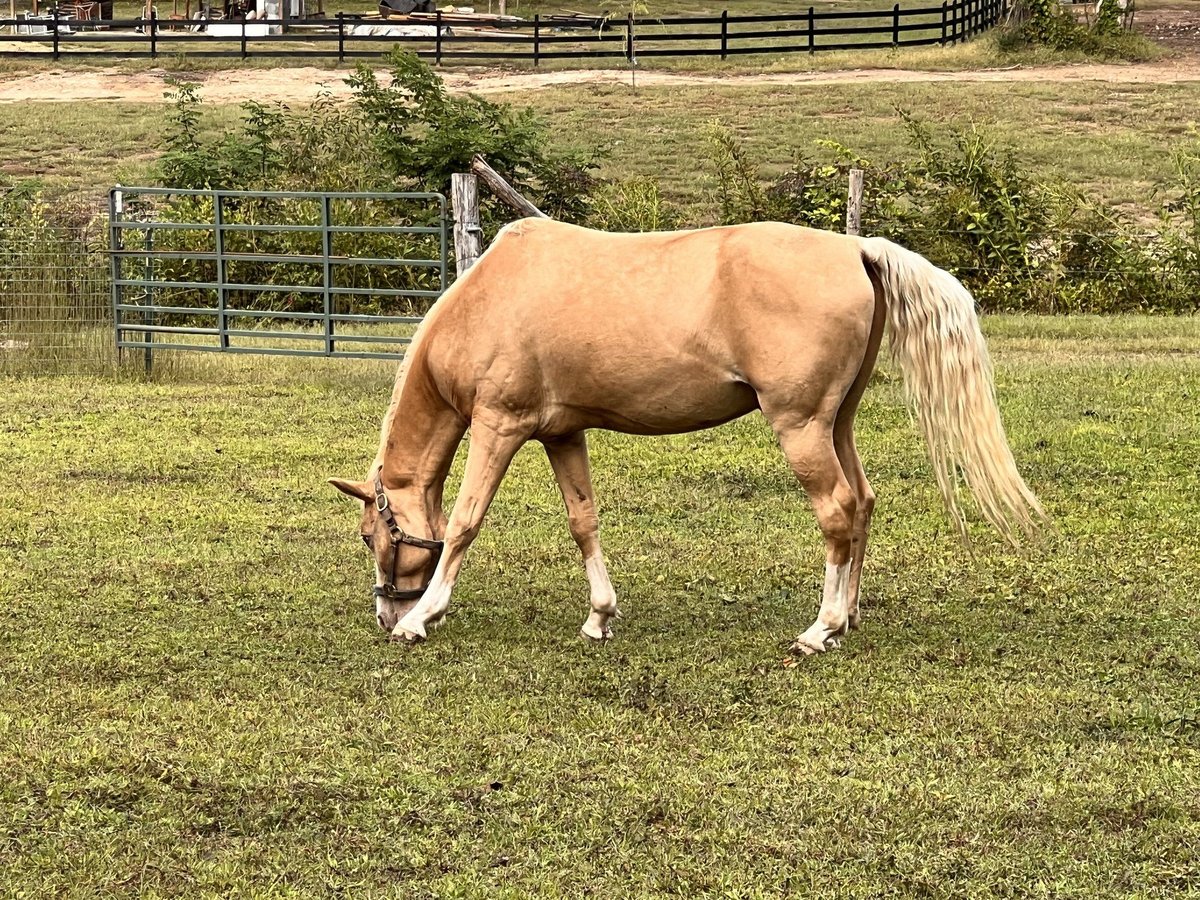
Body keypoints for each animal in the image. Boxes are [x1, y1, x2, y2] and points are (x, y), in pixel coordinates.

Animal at [330, 219, 1043, 655]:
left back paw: (822, 627)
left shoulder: (498, 427)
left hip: (800, 427)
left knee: (838, 512)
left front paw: (422, 619)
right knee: (863, 504)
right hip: (836, 423)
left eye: (370, 536)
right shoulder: (563, 434)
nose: (383, 612)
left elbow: (465, 523)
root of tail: (855, 249)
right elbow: (583, 522)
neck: (489, 300)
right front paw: (599, 616)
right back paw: (852, 616)